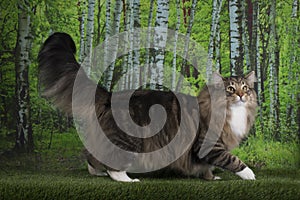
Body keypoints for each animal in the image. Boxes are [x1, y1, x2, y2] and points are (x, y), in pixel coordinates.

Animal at [38, 32, 258, 182]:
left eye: (245, 87)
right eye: (230, 89)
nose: (241, 95)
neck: (232, 112)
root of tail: (110, 95)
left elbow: (208, 168)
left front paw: (211, 177)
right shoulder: (209, 144)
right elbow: (233, 160)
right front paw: (250, 174)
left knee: (92, 157)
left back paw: (98, 172)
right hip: (128, 141)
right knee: (113, 166)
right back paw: (128, 179)